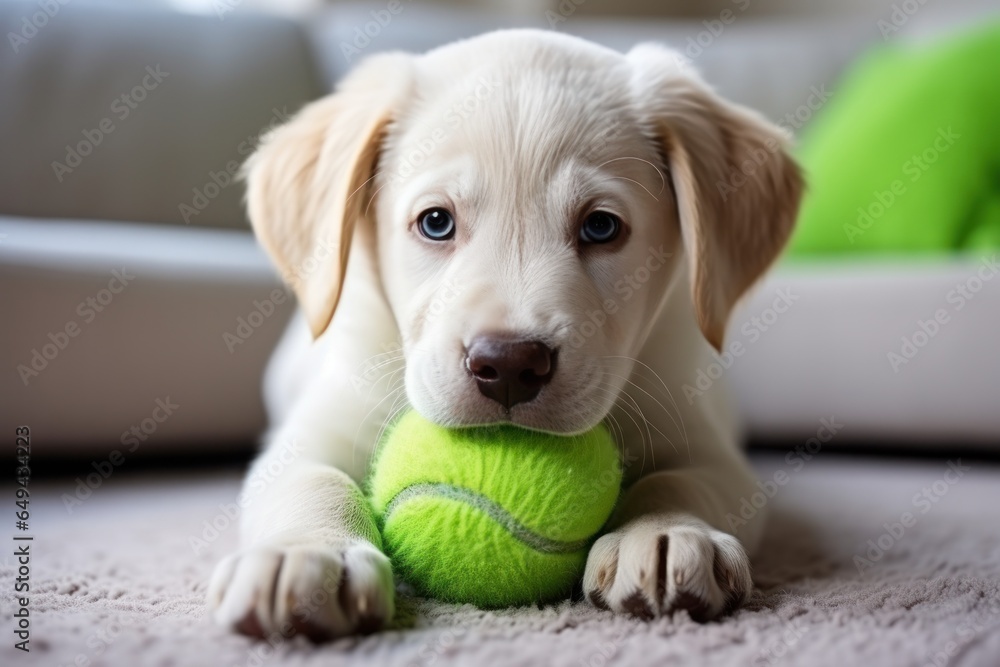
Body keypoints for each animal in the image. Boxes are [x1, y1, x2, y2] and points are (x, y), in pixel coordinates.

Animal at [207, 28, 800, 640]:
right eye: (436, 222)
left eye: (601, 226)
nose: (511, 364)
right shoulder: (315, 431)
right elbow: (312, 483)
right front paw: (303, 553)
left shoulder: (710, 448)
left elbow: (680, 482)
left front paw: (668, 534)